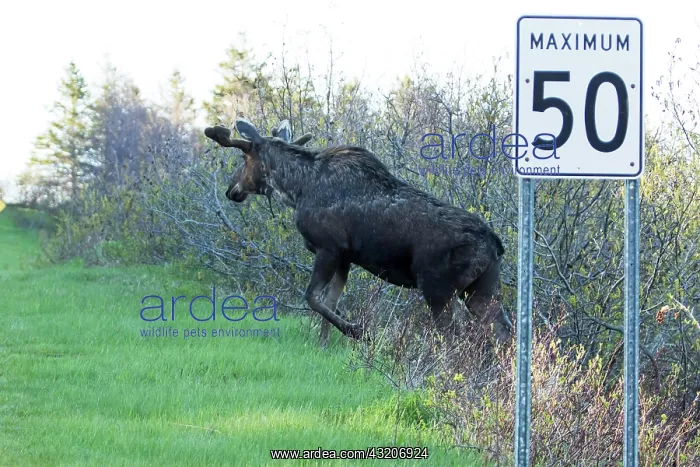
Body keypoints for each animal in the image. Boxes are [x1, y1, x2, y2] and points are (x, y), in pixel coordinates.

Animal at [204, 118, 513, 347]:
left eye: (243, 159)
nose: (231, 189)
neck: (297, 189)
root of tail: (496, 245)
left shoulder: (329, 247)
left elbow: (312, 298)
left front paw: (357, 331)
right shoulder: (345, 257)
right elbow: (329, 301)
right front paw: (323, 345)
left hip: (438, 287)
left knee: (455, 338)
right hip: (481, 288)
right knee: (502, 331)